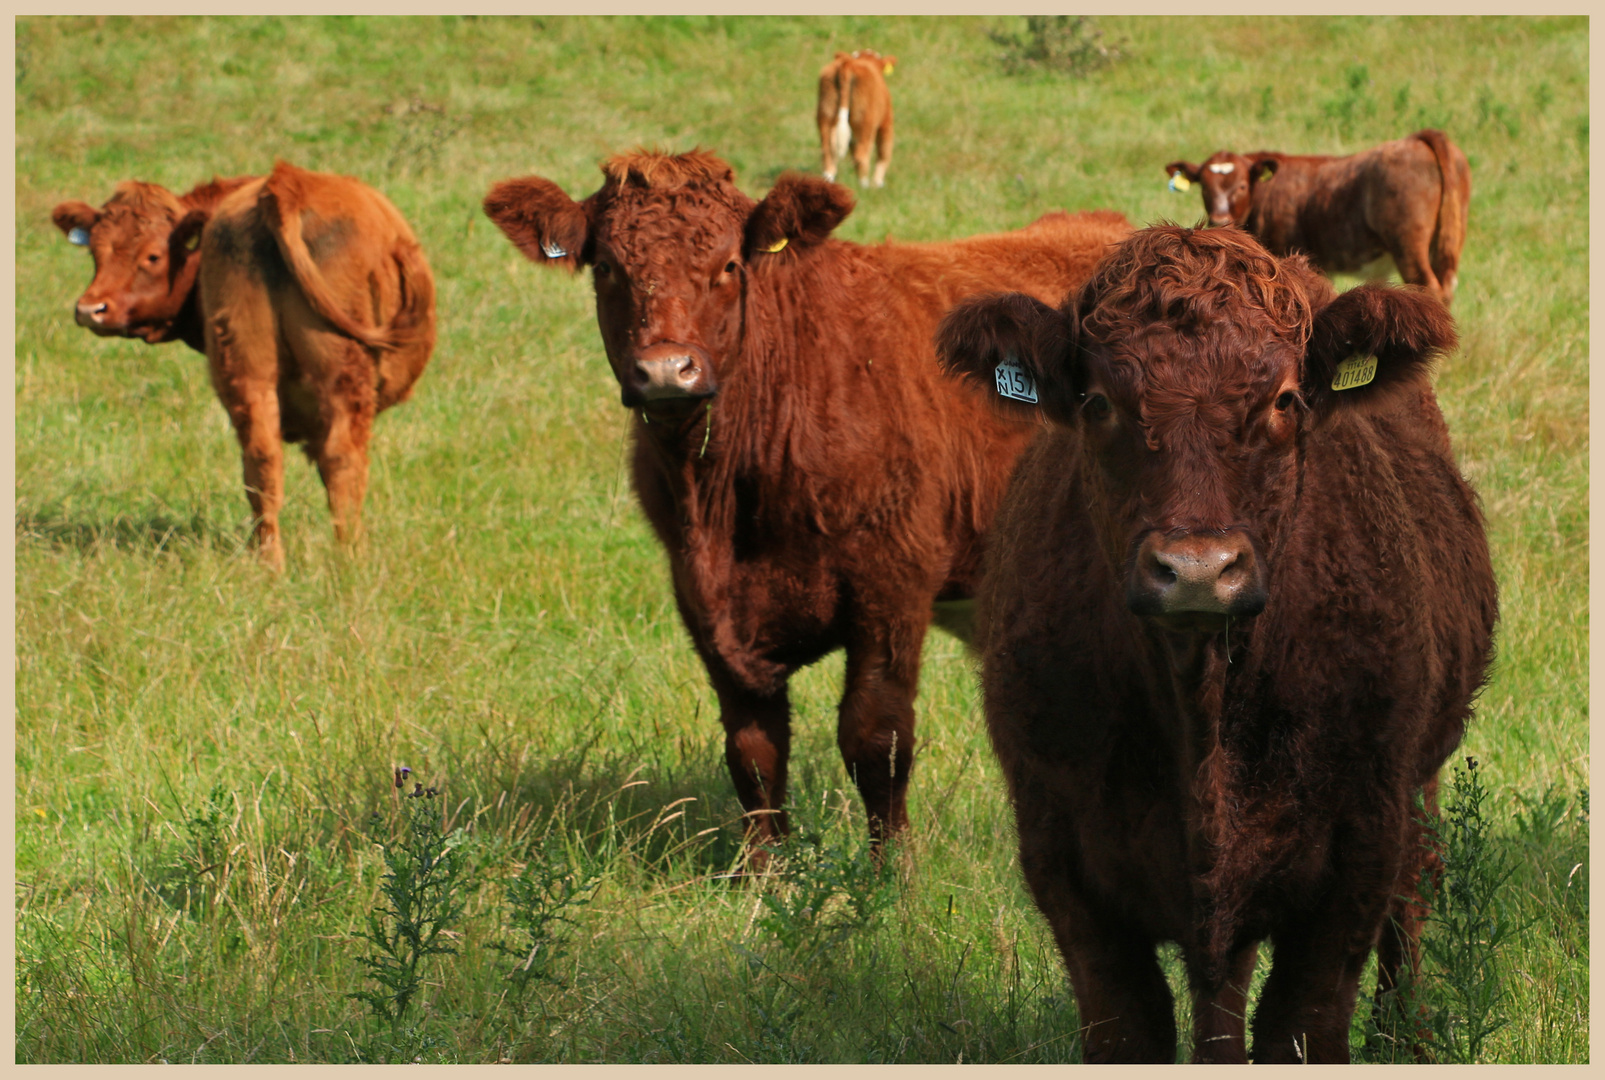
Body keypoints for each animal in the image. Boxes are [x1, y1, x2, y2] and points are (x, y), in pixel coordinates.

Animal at [53, 162, 436, 571]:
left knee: (261, 461)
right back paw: (350, 559)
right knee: (341, 459)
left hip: (245, 368)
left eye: (153, 256)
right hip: (341, 374)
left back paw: (271, 564)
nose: (89, 309)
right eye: (95, 251)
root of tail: (286, 181)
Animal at [481, 151, 1136, 866]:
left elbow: (877, 740)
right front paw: (762, 874)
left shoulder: (893, 578)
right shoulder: (701, 598)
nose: (666, 371)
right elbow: (754, 752)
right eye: (606, 267)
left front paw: (891, 874)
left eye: (729, 266)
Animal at [821, 48, 898, 188]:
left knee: (828, 152)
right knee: (861, 155)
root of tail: (848, 64)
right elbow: (884, 153)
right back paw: (864, 186)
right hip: (865, 123)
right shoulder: (886, 122)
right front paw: (878, 183)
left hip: (825, 114)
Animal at [937, 223, 1495, 1059]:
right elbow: (1130, 1027)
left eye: (1284, 400)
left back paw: (1407, 1036)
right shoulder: (1064, 861)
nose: (1197, 570)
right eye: (1097, 402)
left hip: (1416, 785)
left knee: (1414, 892)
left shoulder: (1355, 856)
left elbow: (1302, 1025)